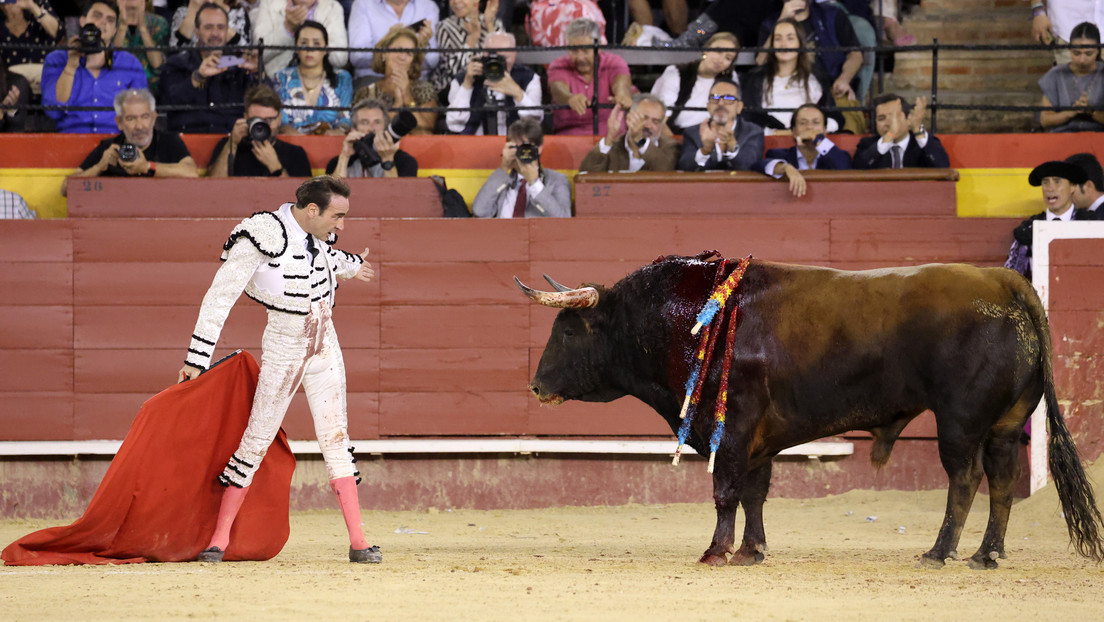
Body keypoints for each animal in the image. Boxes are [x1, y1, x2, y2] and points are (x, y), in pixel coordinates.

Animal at [516, 252, 1104, 570]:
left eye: (568, 331)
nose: (536, 385)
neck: (686, 319)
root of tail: (1006, 280)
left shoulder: (733, 428)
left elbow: (725, 491)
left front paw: (716, 551)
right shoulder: (757, 439)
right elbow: (754, 493)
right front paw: (751, 551)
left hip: (958, 422)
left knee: (965, 479)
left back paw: (939, 552)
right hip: (1005, 423)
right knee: (1003, 481)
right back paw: (987, 555)